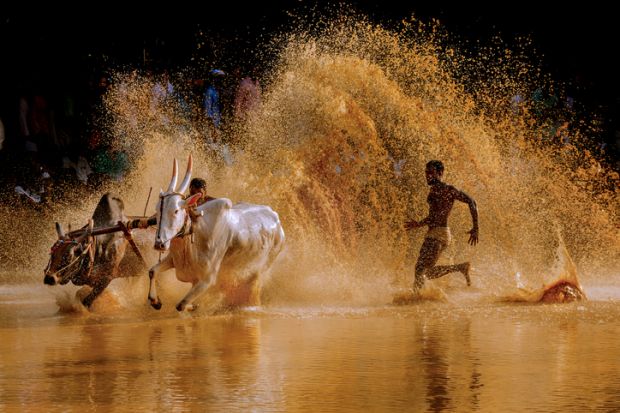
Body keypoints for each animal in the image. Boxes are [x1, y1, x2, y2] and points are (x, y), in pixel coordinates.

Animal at [148, 156, 286, 310]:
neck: (197, 233)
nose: (159, 244)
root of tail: (276, 219)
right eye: (157, 209)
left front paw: (193, 306)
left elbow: (181, 305)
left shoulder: (208, 279)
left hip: (263, 268)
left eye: (176, 211)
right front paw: (155, 301)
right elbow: (152, 271)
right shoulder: (174, 260)